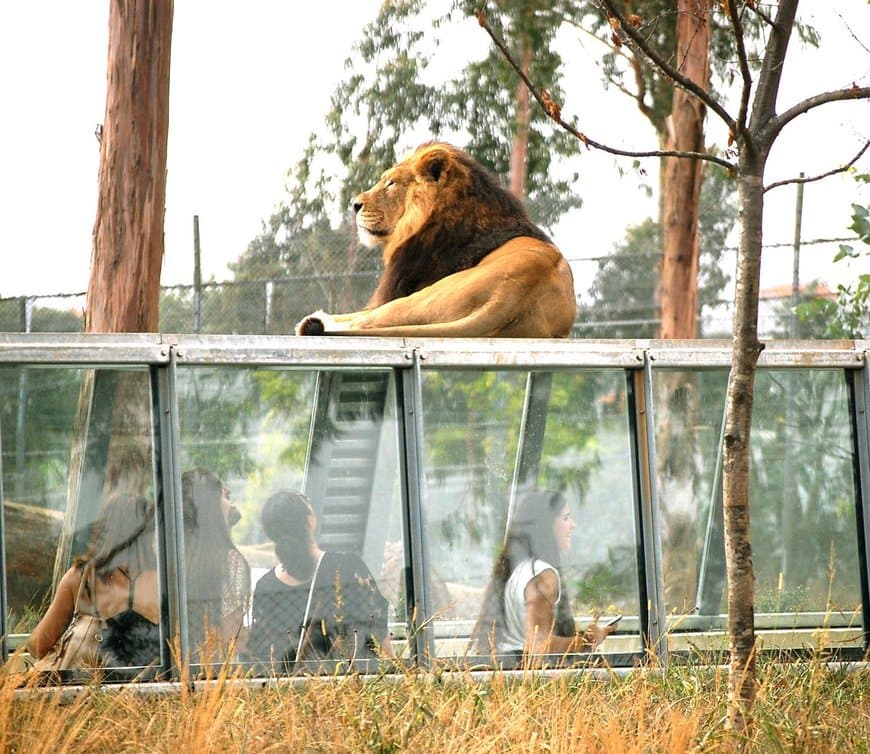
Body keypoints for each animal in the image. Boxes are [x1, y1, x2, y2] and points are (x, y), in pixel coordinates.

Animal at [294, 140, 580, 338]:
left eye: (390, 183)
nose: (355, 205)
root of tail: (513, 295)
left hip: (421, 298)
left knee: (366, 322)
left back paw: (312, 322)